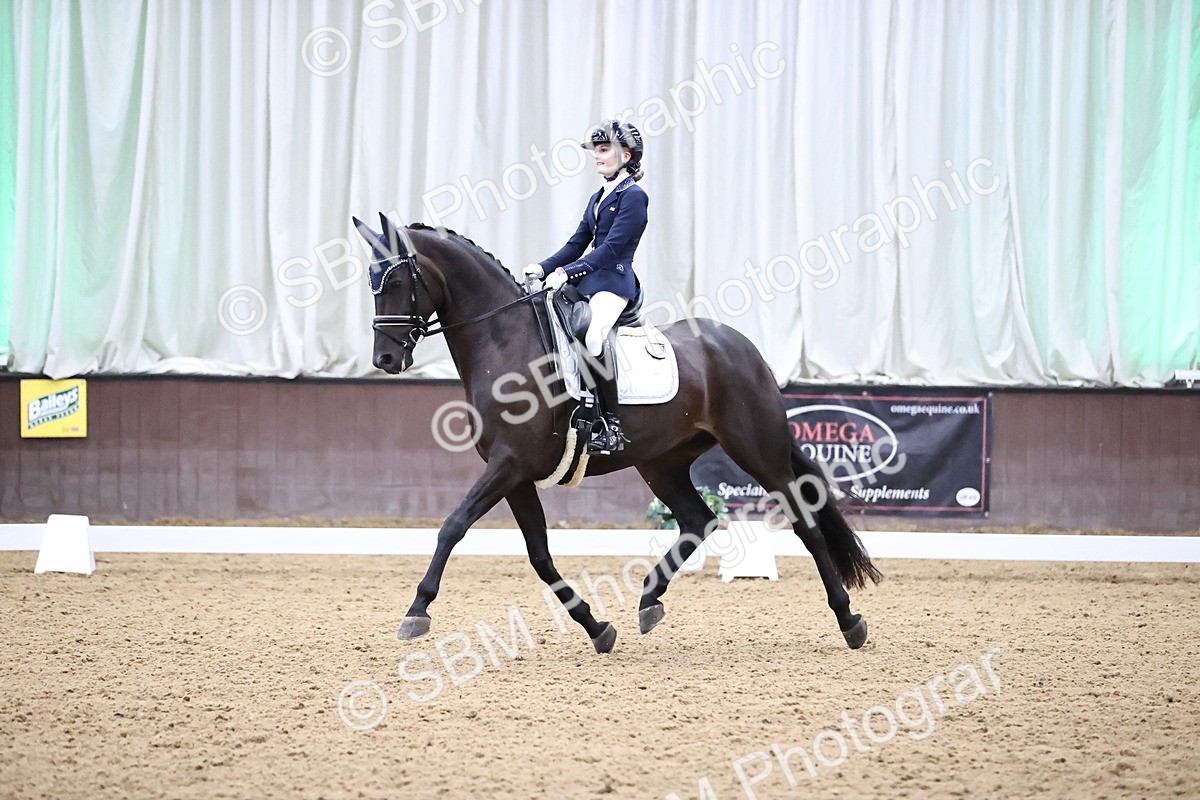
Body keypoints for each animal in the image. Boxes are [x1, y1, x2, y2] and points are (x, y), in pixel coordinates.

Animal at [352, 213, 882, 654]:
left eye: (394, 279)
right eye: (370, 281)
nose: (385, 359)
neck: (504, 341)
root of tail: (742, 347)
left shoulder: (509, 464)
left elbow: (453, 526)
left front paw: (416, 611)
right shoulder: (515, 474)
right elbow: (540, 556)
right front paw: (597, 628)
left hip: (756, 449)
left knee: (804, 523)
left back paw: (850, 621)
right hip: (661, 461)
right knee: (698, 520)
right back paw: (649, 600)